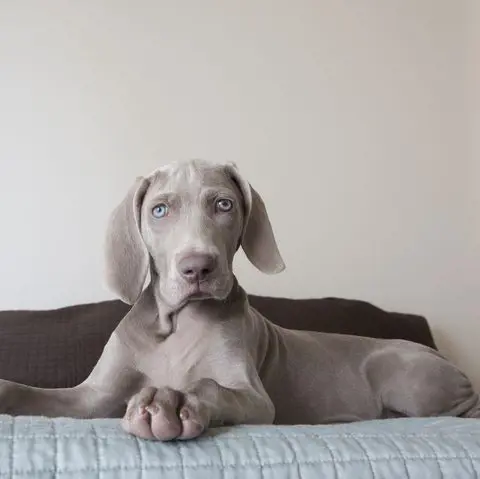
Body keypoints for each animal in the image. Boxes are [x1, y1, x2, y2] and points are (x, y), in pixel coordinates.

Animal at [0, 159, 480, 440]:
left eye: (224, 205)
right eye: (160, 210)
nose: (197, 268)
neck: (173, 325)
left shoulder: (254, 399)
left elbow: (210, 385)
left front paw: (172, 403)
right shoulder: (92, 397)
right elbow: (30, 392)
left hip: (406, 376)